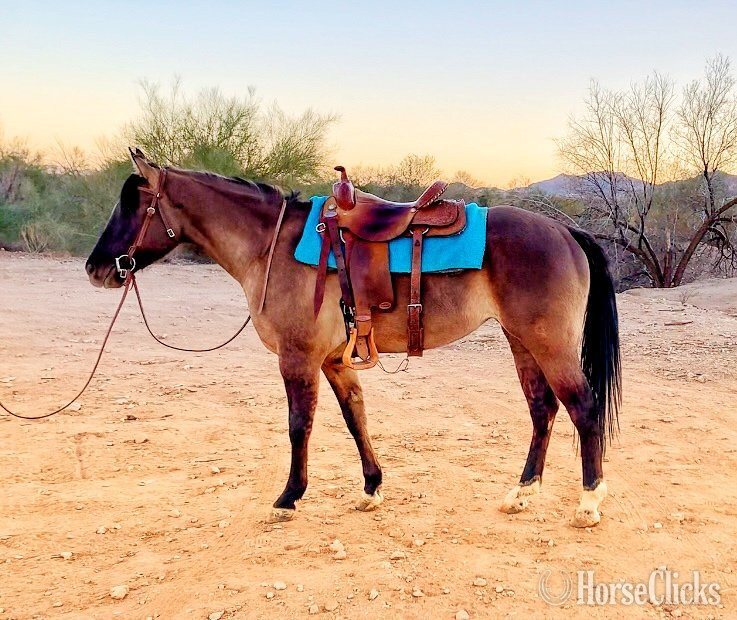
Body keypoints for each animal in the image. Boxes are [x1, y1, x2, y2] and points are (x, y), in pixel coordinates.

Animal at [85, 149, 621, 528]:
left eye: (134, 207)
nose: (95, 268)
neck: (270, 245)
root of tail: (565, 230)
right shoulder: (334, 361)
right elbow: (354, 418)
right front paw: (371, 488)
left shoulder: (298, 358)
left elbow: (299, 425)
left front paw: (289, 498)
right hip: (520, 340)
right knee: (542, 409)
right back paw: (523, 492)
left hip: (549, 343)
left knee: (582, 407)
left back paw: (590, 502)